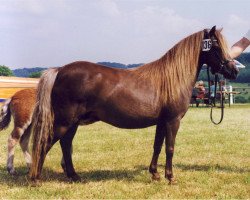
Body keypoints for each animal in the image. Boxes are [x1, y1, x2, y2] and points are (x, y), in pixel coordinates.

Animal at [29, 26, 238, 183]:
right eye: (216, 45)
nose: (233, 71)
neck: (172, 78)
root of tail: (60, 70)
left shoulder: (161, 122)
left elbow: (157, 146)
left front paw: (155, 174)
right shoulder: (173, 120)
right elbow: (170, 148)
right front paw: (170, 177)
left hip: (72, 123)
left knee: (65, 144)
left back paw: (74, 176)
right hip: (64, 122)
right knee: (46, 142)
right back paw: (36, 179)